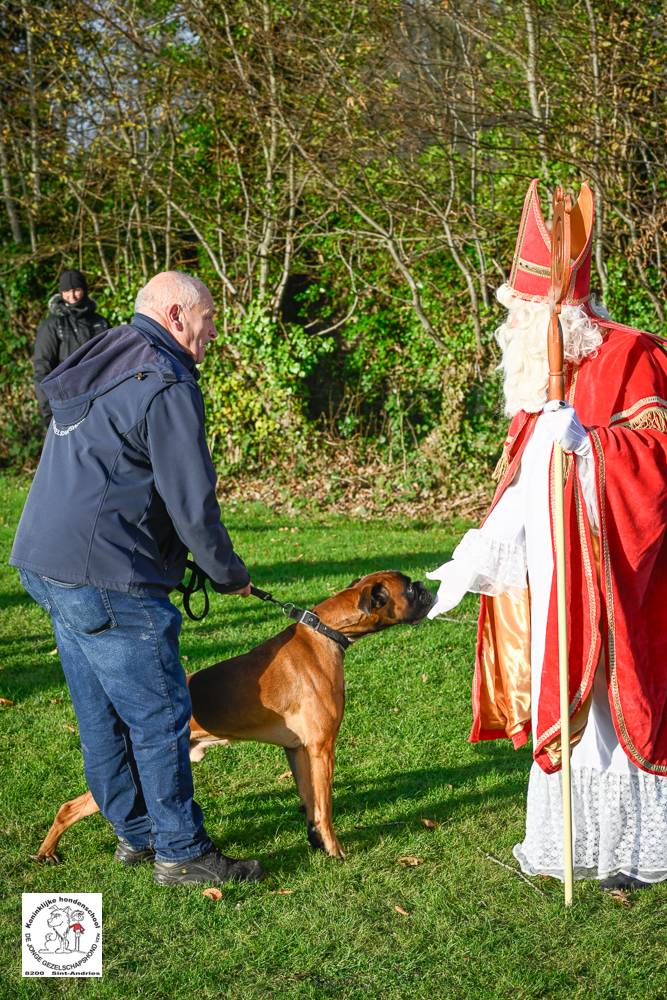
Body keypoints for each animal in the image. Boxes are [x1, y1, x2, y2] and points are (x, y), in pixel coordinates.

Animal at [34, 576, 436, 864]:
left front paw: (316, 844)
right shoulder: (323, 748)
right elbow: (325, 807)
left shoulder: (298, 751)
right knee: (71, 807)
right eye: (409, 588)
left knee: (77, 805)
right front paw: (335, 849)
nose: (425, 585)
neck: (325, 632)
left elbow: (309, 803)